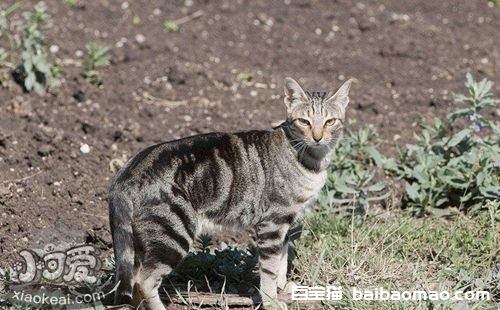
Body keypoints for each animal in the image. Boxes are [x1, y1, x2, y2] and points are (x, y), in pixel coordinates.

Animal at [108, 76, 352, 308]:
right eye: (304, 121)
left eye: (330, 121)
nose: (318, 137)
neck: (311, 161)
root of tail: (124, 176)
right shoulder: (273, 221)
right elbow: (269, 270)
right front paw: (272, 301)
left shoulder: (285, 222)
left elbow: (282, 257)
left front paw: (283, 287)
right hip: (173, 233)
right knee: (144, 280)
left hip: (143, 239)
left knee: (135, 278)